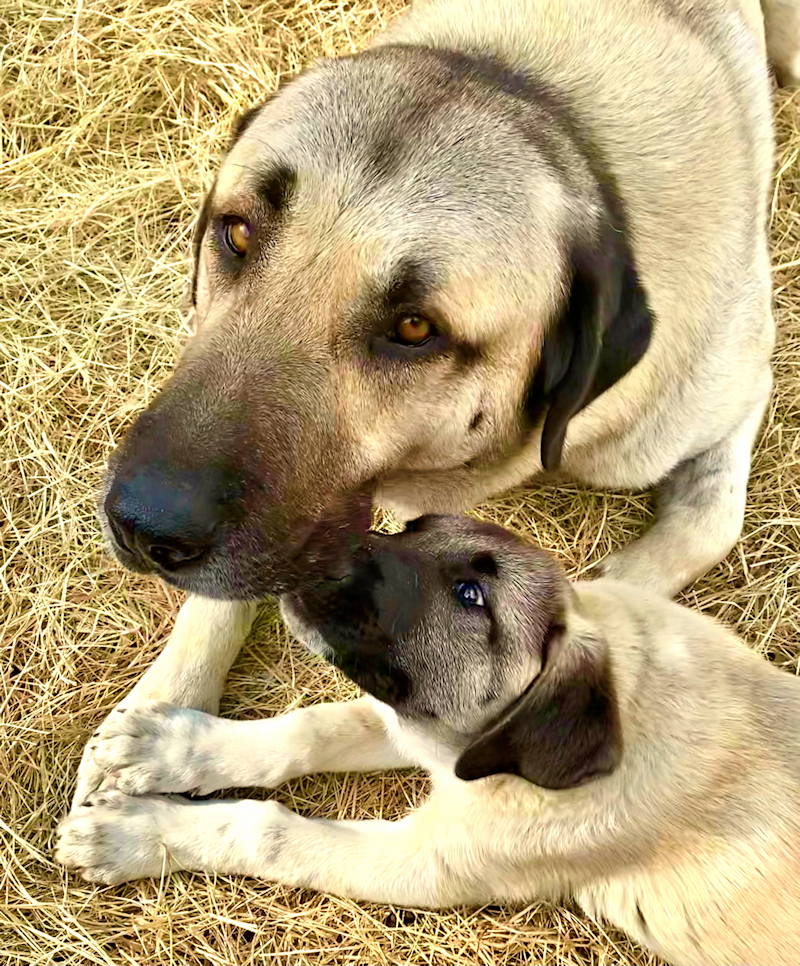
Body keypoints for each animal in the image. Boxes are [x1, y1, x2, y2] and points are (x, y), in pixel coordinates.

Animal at [56, 520, 800, 966]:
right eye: (411, 529)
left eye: (471, 595)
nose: (310, 547)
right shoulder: (419, 722)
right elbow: (307, 728)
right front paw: (166, 747)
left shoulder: (427, 862)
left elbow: (266, 831)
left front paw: (135, 834)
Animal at [70, 0, 792, 808]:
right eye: (237, 232)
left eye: (415, 328)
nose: (139, 527)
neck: (549, 112)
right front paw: (165, 702)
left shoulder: (738, 380)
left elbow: (706, 524)